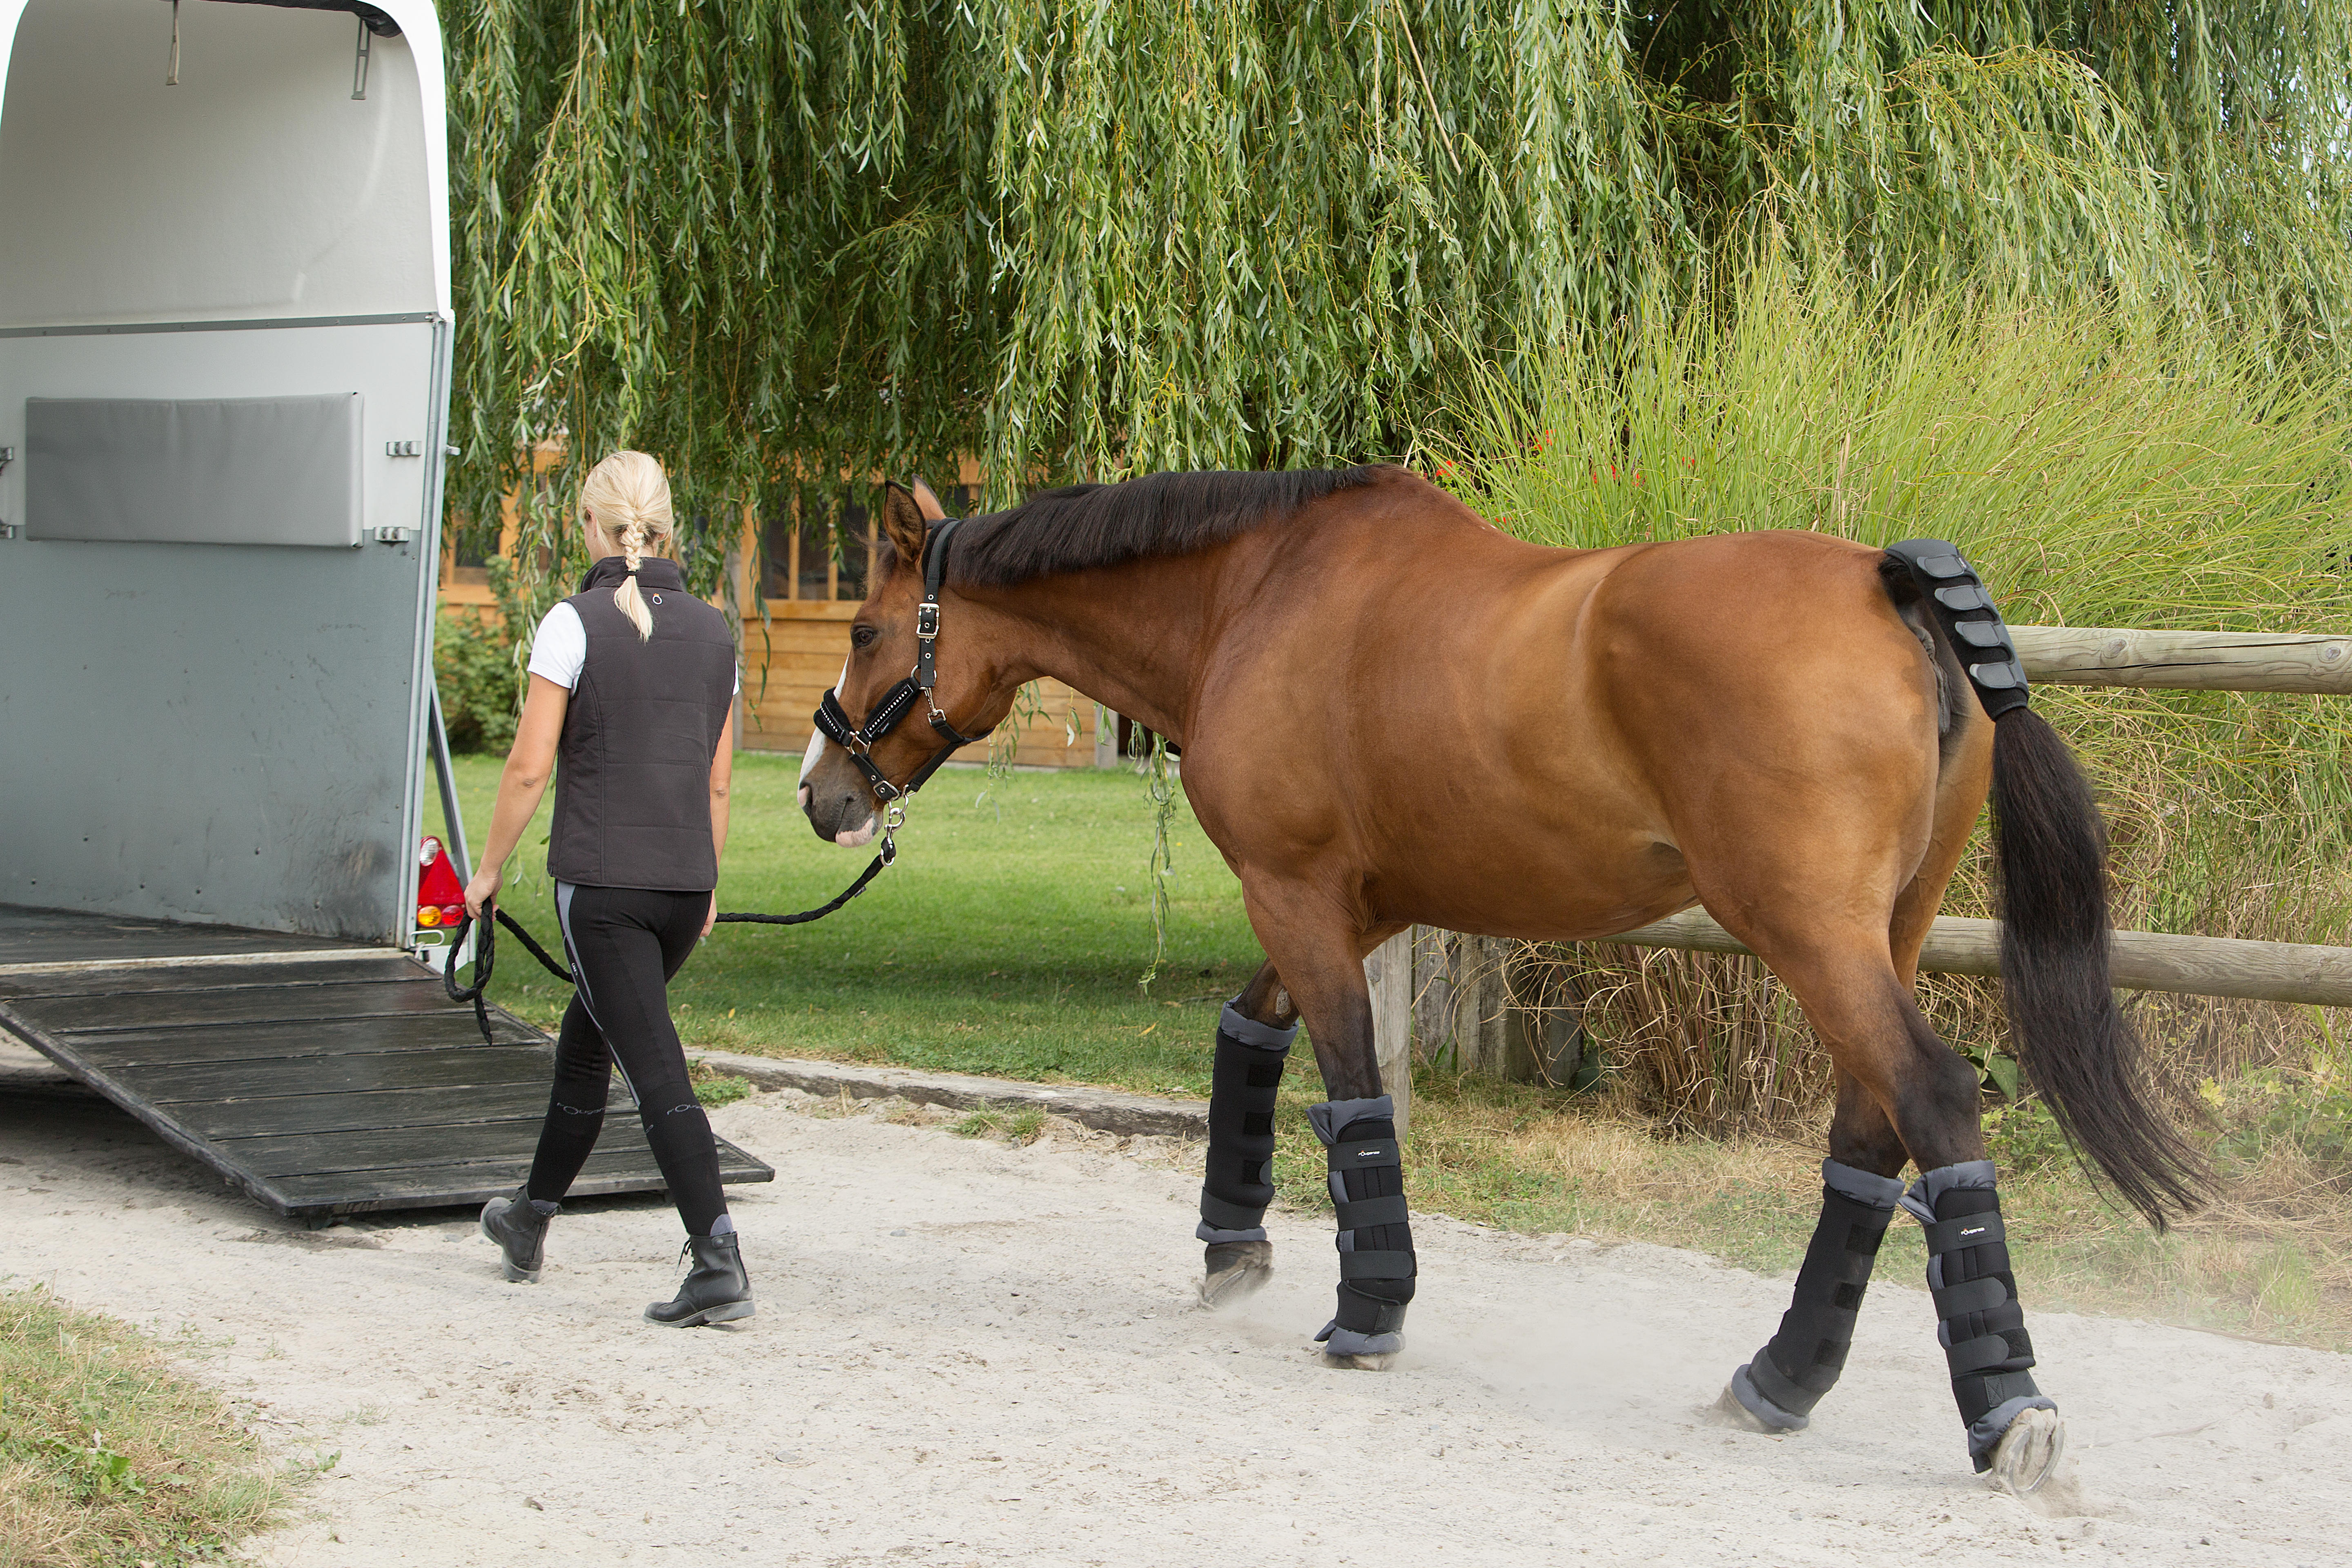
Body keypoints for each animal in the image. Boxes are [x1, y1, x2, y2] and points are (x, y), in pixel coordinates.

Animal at [804, 465, 2201, 1495]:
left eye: (866, 626)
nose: (823, 795)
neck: (1256, 594)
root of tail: (1885, 580)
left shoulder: (1294, 892)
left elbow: (1353, 1097)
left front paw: (1366, 1311)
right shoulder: (1351, 905)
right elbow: (1249, 1037)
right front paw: (1234, 1247)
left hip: (1814, 936)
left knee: (1932, 1100)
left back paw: (2005, 1408)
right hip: (1886, 932)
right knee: (1871, 1133)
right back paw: (1781, 1378)